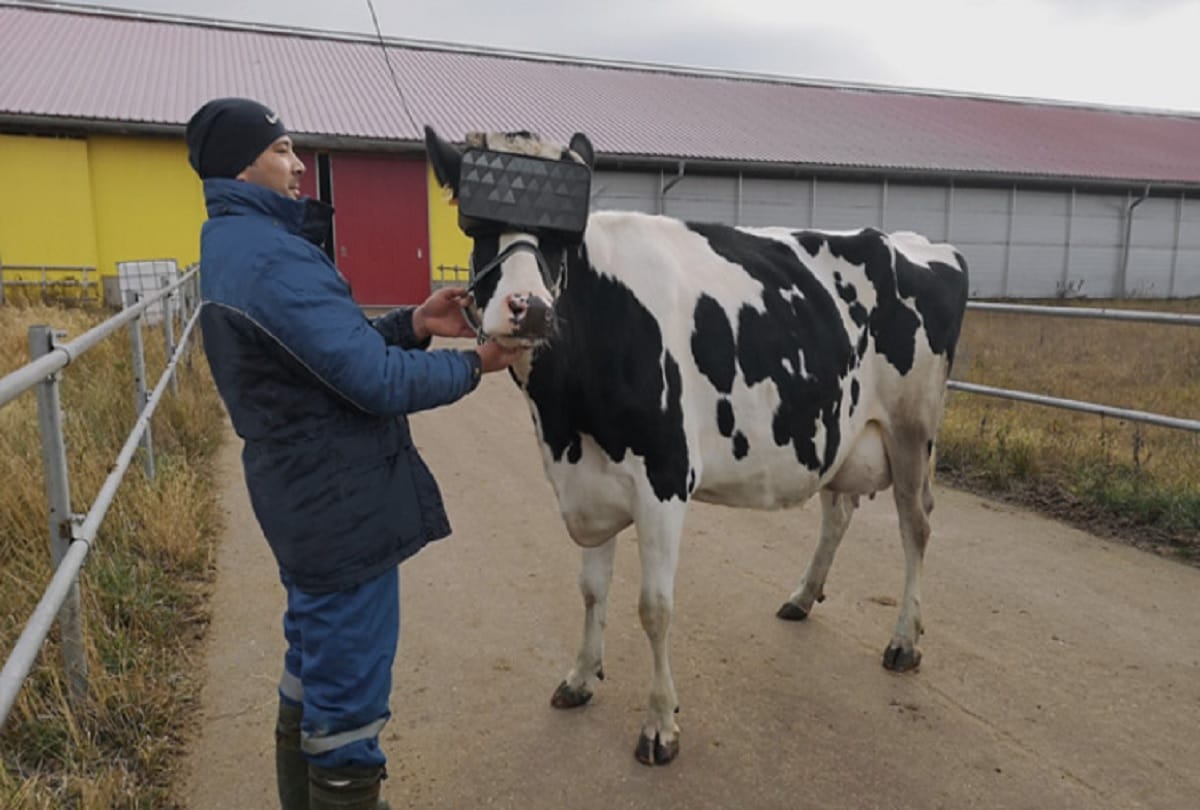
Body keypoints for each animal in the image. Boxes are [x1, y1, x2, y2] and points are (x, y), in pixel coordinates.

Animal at [425, 126, 970, 766]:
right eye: (476, 227)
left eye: (563, 237)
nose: (529, 308)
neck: (565, 419)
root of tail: (921, 244)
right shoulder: (586, 481)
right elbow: (590, 590)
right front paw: (581, 677)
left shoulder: (663, 478)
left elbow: (654, 608)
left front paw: (660, 724)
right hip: (840, 428)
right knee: (838, 510)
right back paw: (802, 596)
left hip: (913, 429)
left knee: (916, 525)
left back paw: (904, 640)